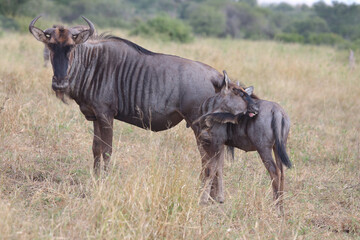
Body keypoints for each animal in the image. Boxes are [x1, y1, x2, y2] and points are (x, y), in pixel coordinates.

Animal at [194, 75, 292, 214]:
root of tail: (277, 111)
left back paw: (276, 208)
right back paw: (281, 208)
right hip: (278, 147)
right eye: (238, 92)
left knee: (274, 172)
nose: (255, 109)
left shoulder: (215, 143)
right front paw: (219, 198)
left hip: (264, 149)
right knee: (282, 172)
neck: (210, 108)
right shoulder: (219, 145)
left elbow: (210, 170)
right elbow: (218, 168)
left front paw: (203, 200)